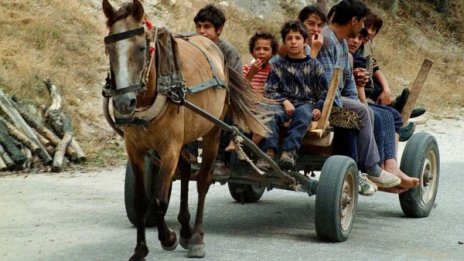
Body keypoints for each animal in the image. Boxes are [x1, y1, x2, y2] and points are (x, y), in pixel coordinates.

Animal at [101, 1, 268, 258]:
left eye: (141, 48)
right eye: (109, 49)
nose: (123, 103)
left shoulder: (169, 147)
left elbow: (159, 200)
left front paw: (168, 237)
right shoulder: (136, 150)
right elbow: (142, 201)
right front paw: (140, 249)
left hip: (212, 131)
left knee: (202, 181)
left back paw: (196, 237)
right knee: (187, 171)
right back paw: (186, 229)